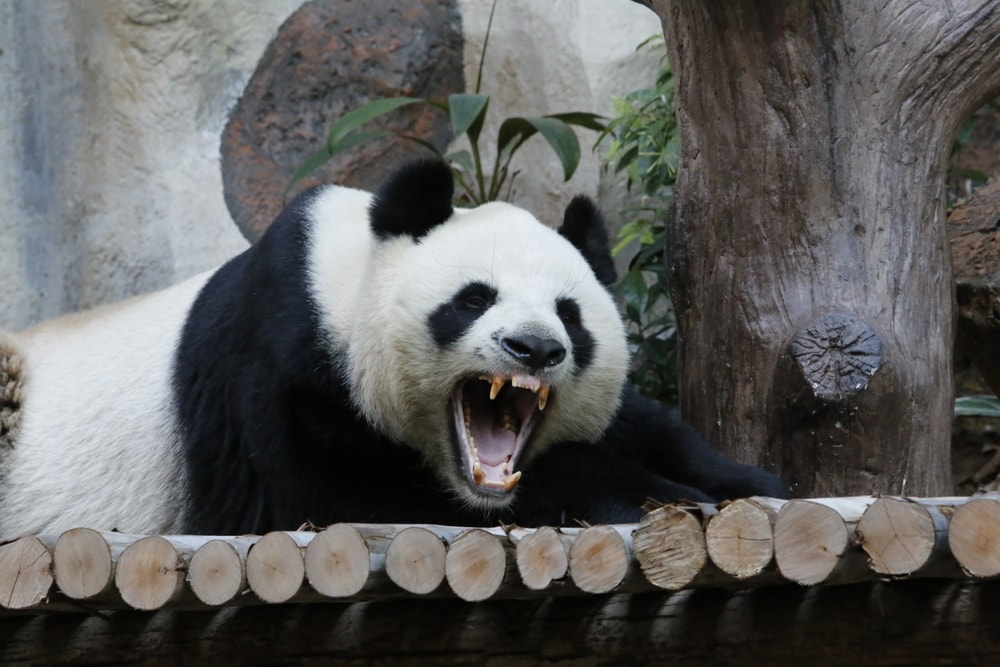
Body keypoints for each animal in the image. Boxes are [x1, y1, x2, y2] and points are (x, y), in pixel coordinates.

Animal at [0, 159, 785, 537]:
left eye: (570, 315)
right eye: (473, 299)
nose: (534, 349)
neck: (345, 284)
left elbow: (650, 425)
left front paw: (742, 480)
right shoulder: (282, 366)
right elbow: (346, 494)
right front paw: (657, 494)